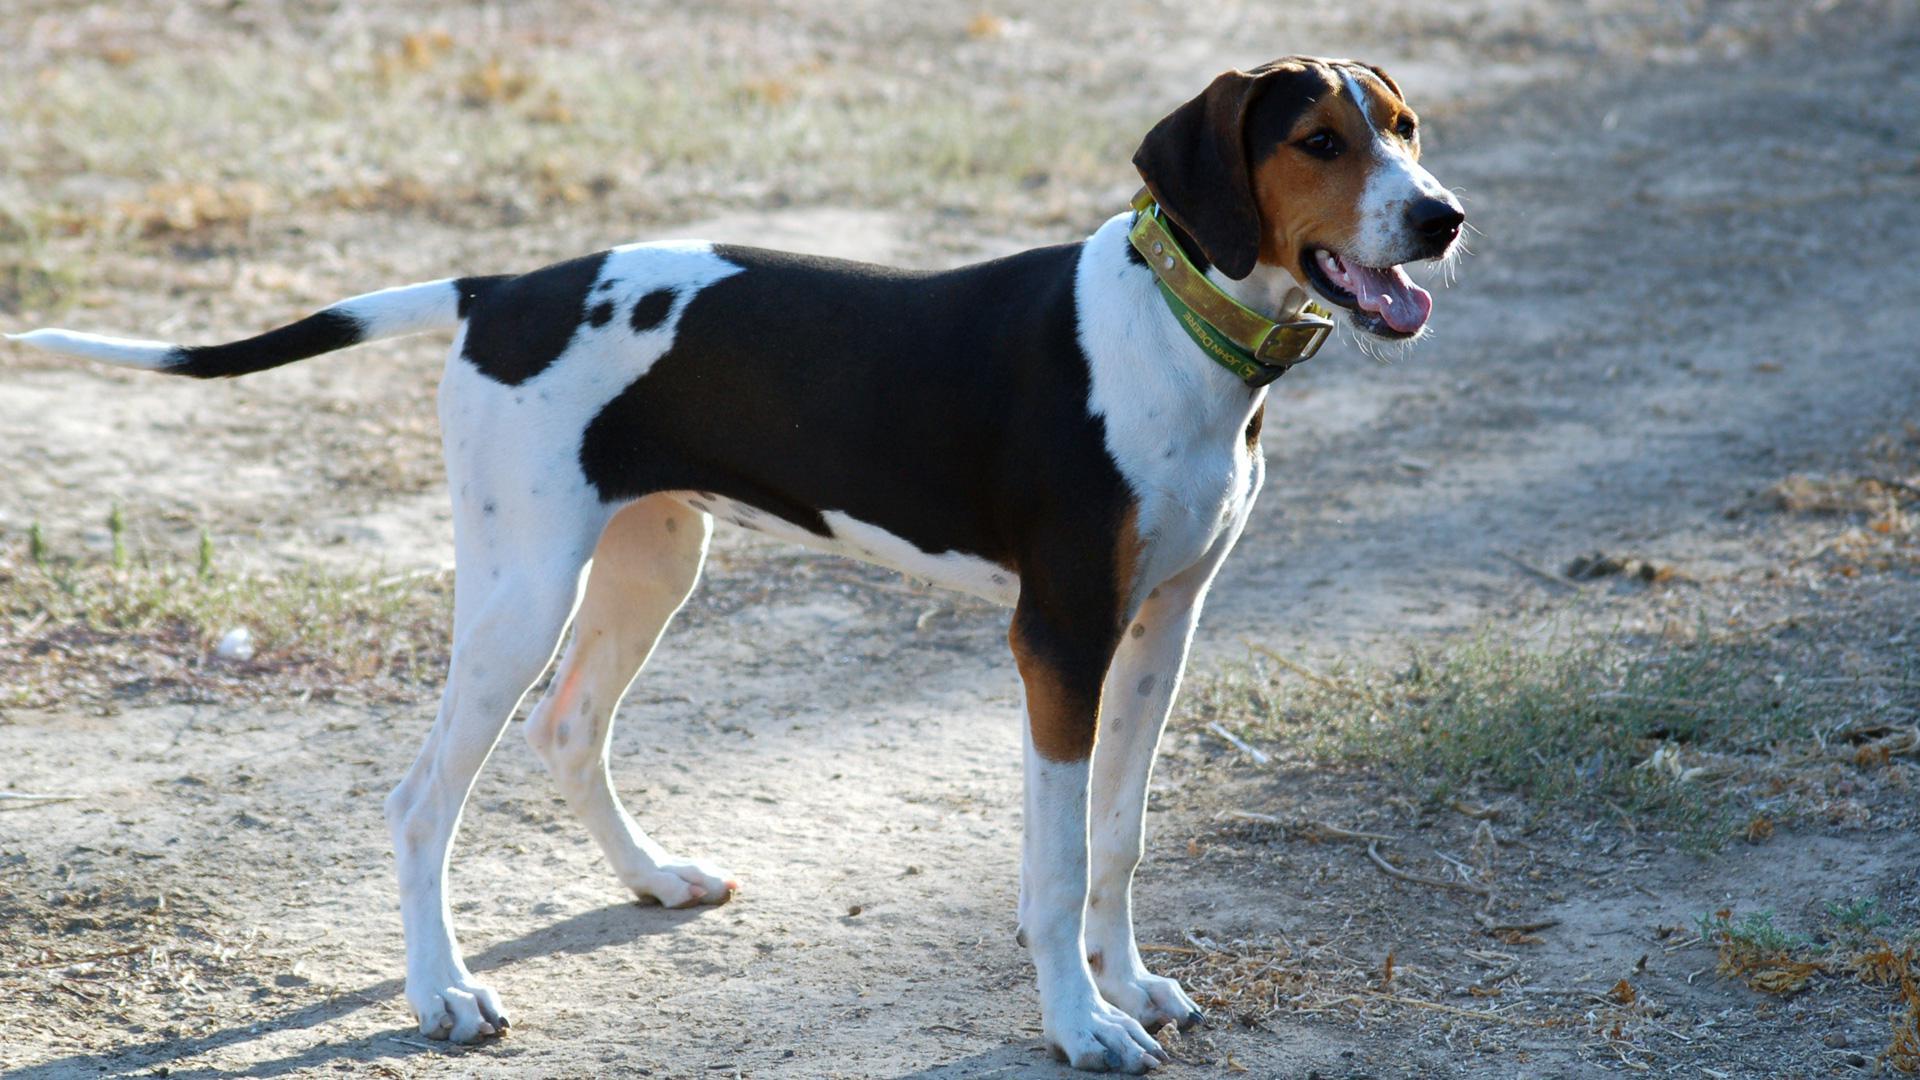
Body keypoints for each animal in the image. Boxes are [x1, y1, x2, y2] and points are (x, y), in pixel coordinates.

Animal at [15, 54, 1459, 1060]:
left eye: (1406, 127)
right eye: (1319, 142)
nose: (1442, 218)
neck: (1173, 320)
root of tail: (502, 291)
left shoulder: (1160, 629)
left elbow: (1118, 836)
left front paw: (1133, 983)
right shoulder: (1057, 642)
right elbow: (1051, 869)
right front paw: (1078, 1025)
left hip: (652, 559)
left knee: (568, 728)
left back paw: (650, 876)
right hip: (523, 588)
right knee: (421, 799)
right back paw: (444, 993)